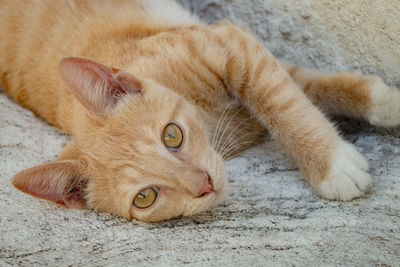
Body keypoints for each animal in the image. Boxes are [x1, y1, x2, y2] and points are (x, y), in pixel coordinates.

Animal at [0, 0, 400, 222]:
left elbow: (287, 97)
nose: (204, 184)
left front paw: (377, 108)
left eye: (171, 135)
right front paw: (335, 162)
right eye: (145, 197)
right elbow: (295, 88)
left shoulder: (228, 43)